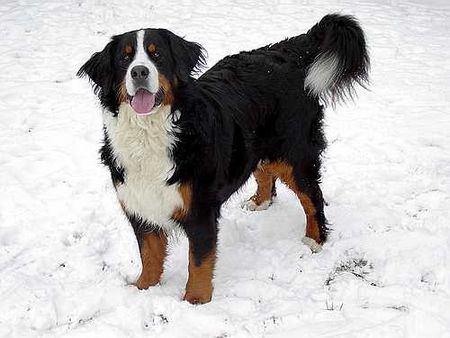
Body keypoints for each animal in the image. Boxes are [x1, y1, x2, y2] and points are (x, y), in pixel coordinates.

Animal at [78, 13, 370, 304]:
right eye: (124, 58)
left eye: (157, 55)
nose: (139, 72)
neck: (151, 131)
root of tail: (287, 52)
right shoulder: (140, 203)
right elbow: (149, 254)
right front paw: (144, 289)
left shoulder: (200, 208)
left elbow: (198, 261)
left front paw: (195, 301)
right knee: (265, 172)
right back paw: (260, 202)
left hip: (294, 153)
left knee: (312, 196)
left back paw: (314, 240)